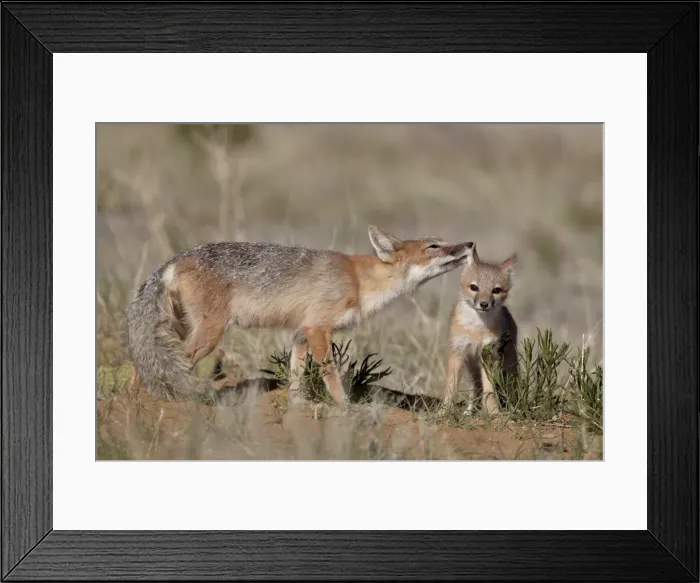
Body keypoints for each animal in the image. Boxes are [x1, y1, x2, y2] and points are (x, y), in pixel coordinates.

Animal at [125, 225, 474, 407]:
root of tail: (174, 259)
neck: (359, 280)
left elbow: (295, 372)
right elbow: (330, 373)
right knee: (162, 365)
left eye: (443, 242)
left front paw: (297, 404)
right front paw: (344, 407)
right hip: (208, 335)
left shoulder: (301, 332)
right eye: (434, 246)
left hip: (184, 329)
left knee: (143, 361)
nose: (470, 243)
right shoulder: (319, 329)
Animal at [441, 244, 519, 416]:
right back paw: (469, 412)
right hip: (472, 367)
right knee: (475, 389)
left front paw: (493, 412)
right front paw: (443, 412)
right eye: (474, 287)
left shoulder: (488, 355)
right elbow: (451, 388)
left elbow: (489, 390)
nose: (484, 304)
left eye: (496, 290)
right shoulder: (457, 353)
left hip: (507, 365)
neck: (476, 329)